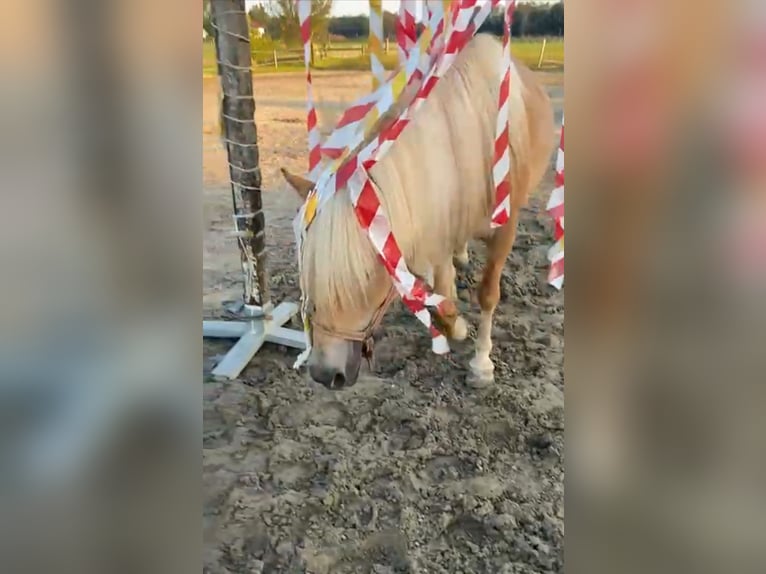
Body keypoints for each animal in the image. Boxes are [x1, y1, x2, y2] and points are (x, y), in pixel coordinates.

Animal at [280, 33, 552, 390]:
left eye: (368, 278)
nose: (325, 375)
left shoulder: (503, 228)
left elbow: (487, 294)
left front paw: (481, 364)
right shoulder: (439, 216)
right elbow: (441, 290)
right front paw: (455, 324)